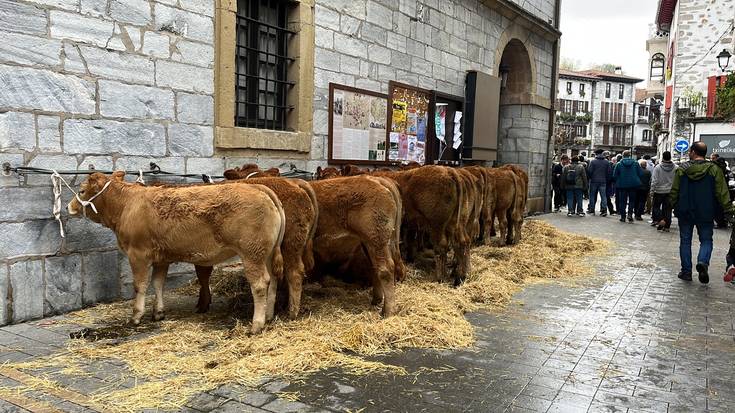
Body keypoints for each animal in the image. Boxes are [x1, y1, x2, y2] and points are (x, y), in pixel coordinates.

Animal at [68, 171, 288, 332]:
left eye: (81, 190)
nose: (70, 207)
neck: (127, 205)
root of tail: (259, 187)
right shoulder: (161, 258)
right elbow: (158, 283)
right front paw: (158, 312)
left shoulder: (138, 254)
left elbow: (140, 285)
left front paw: (136, 316)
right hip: (267, 253)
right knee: (273, 281)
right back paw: (268, 316)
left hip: (252, 253)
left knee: (260, 284)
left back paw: (257, 324)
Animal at [310, 175, 406, 316]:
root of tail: (378, 180)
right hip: (371, 242)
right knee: (376, 267)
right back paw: (377, 301)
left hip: (377, 239)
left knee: (386, 269)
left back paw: (389, 311)